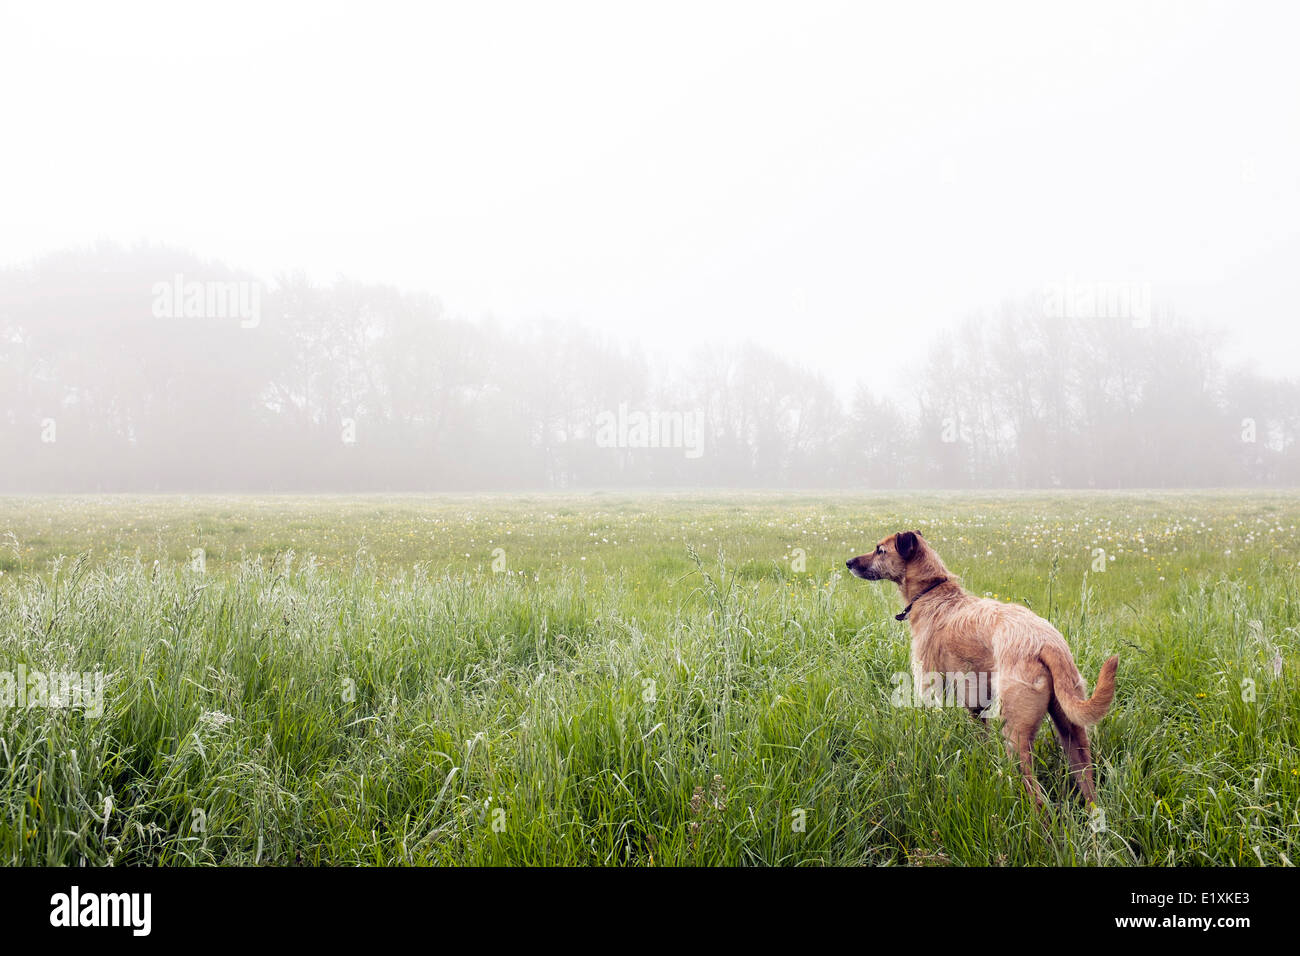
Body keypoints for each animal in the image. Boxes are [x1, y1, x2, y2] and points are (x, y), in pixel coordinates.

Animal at [842, 530, 1118, 806]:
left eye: (880, 550)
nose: (848, 562)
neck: (933, 592)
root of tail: (1047, 643)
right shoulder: (976, 704)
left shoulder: (930, 687)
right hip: (1073, 733)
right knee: (1087, 784)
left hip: (1016, 735)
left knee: (1037, 797)